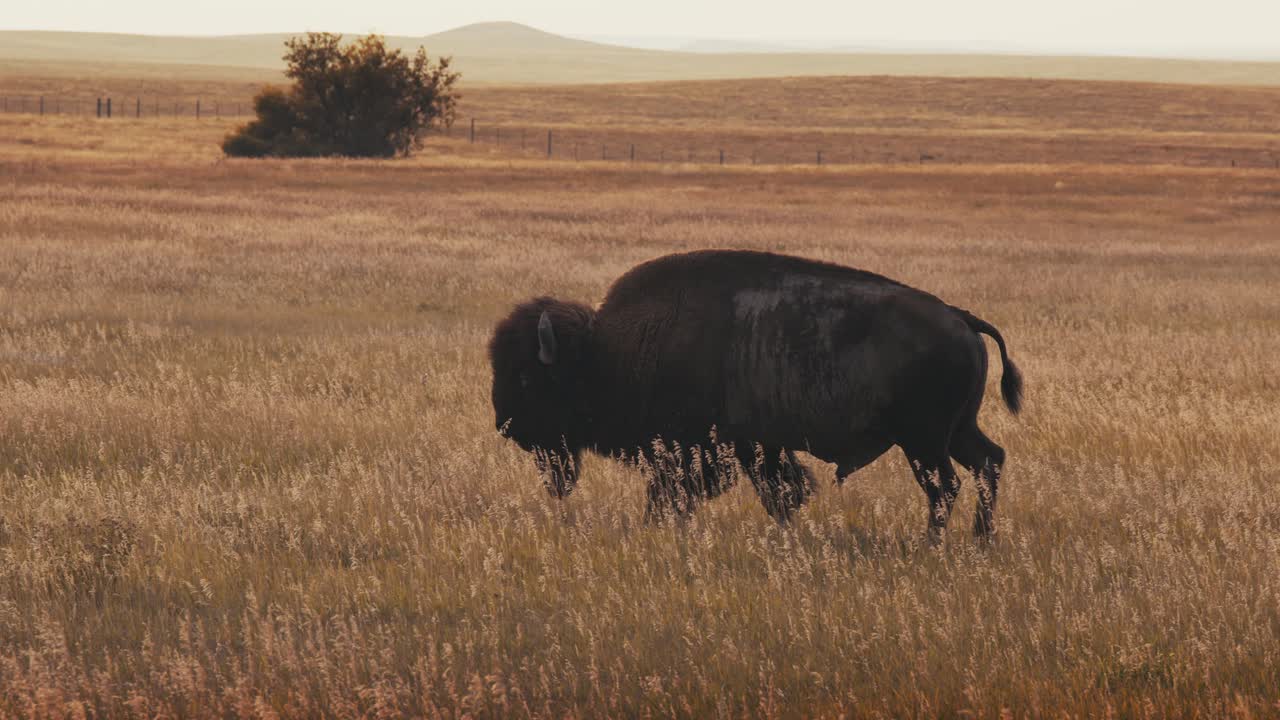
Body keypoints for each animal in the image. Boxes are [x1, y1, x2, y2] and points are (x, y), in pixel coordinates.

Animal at [489, 250, 1023, 540]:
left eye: (525, 378)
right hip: (957, 432)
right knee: (988, 463)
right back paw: (982, 540)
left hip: (924, 442)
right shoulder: (756, 450)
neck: (609, 351)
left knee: (944, 487)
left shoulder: (706, 451)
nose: (504, 424)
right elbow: (779, 494)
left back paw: (933, 544)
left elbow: (690, 494)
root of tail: (960, 317)